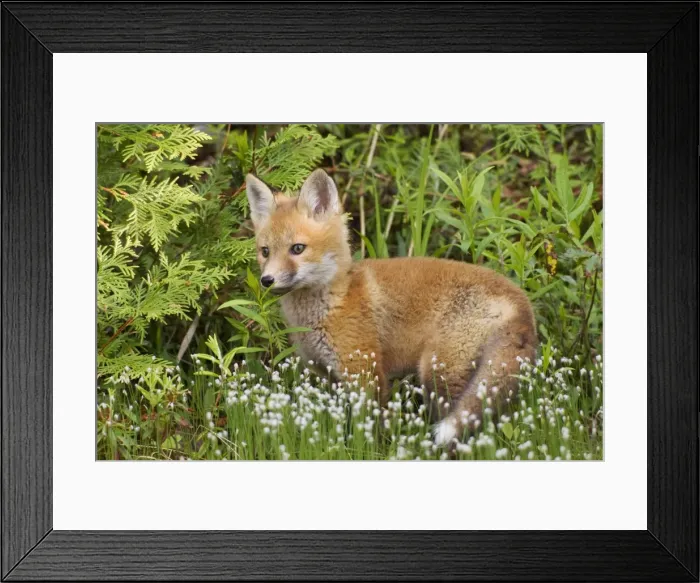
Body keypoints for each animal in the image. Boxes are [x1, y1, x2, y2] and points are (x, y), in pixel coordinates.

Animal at [245, 168, 538, 446]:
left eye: (297, 248)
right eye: (265, 251)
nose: (267, 280)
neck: (334, 300)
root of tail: (520, 300)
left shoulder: (364, 370)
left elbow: (370, 430)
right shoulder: (328, 375)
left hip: (438, 373)